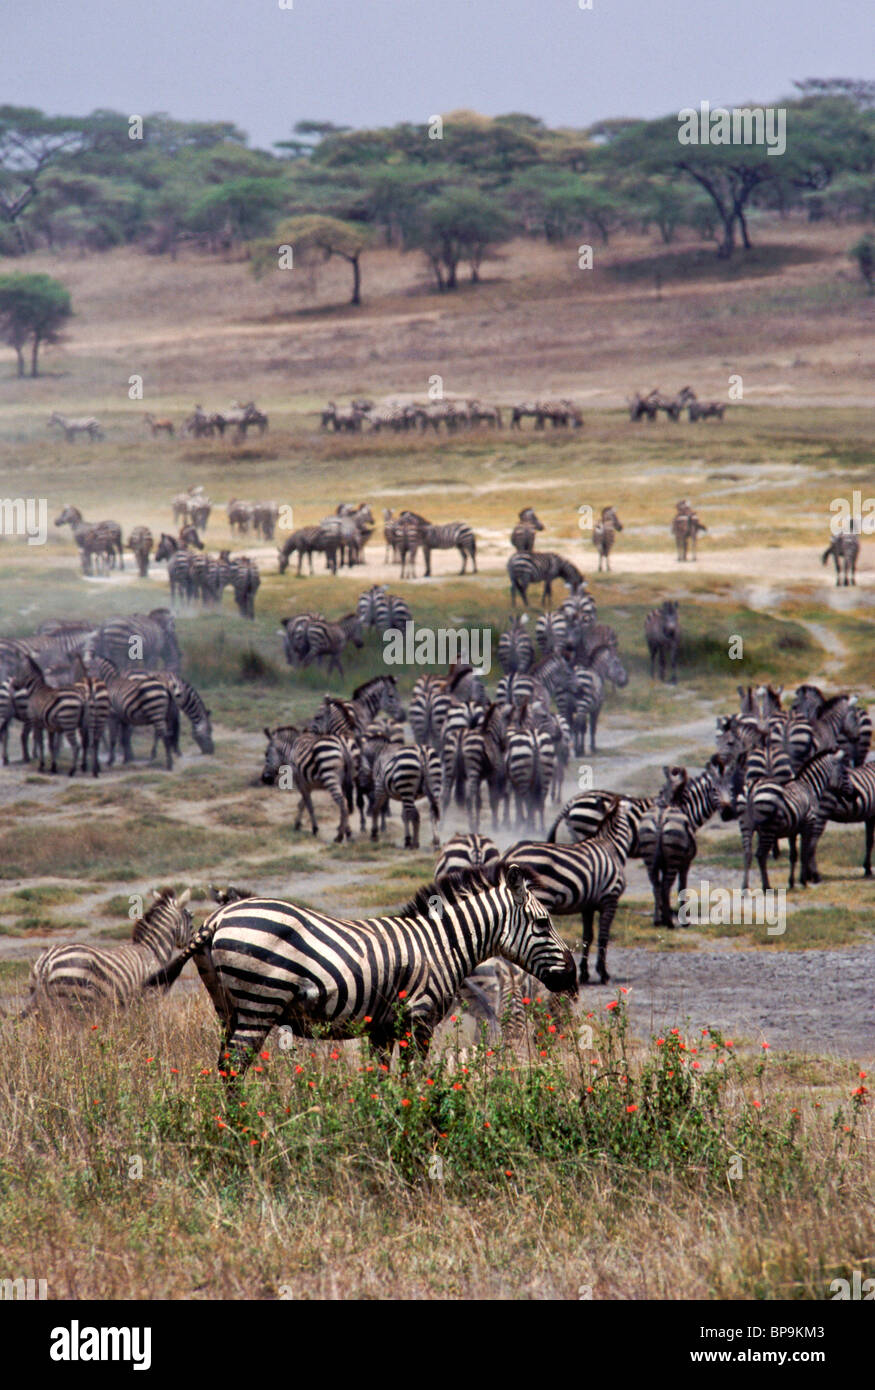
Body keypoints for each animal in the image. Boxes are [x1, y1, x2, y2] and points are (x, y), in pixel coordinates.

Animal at [20, 888, 192, 1016]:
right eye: (191, 917)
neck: (153, 950)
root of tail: (47, 962)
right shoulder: (150, 998)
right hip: (72, 1001)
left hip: (40, 1001)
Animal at [143, 864, 575, 1075]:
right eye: (542, 924)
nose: (572, 978)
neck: (441, 945)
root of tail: (216, 919)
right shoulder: (417, 1019)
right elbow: (414, 1079)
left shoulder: (382, 1028)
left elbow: (381, 1080)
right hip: (259, 1003)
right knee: (234, 1067)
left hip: (226, 1006)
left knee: (223, 1065)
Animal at [506, 797, 633, 984]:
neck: (612, 848)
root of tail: (509, 852)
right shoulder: (610, 898)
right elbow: (603, 937)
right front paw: (603, 973)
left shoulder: (588, 905)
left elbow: (588, 937)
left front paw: (585, 973)